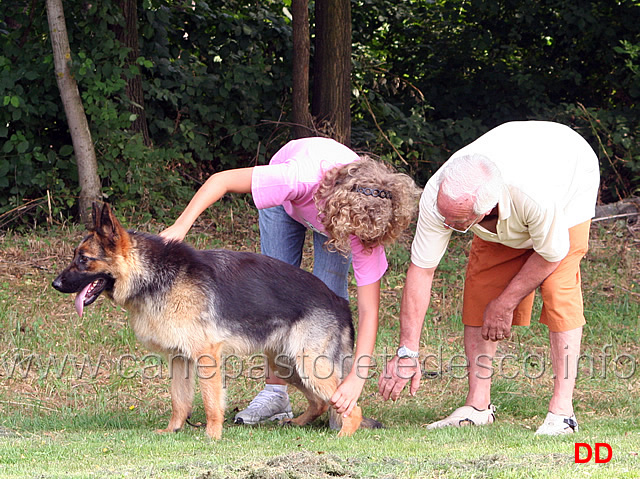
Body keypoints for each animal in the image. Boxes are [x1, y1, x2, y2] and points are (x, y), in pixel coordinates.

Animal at [52, 204, 380, 440]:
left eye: (83, 259)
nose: (55, 284)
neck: (153, 275)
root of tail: (340, 302)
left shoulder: (205, 356)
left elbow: (211, 402)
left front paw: (212, 435)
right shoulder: (179, 359)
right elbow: (179, 401)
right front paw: (173, 430)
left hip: (308, 364)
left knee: (350, 406)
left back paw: (342, 436)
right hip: (286, 365)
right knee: (322, 402)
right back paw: (298, 423)